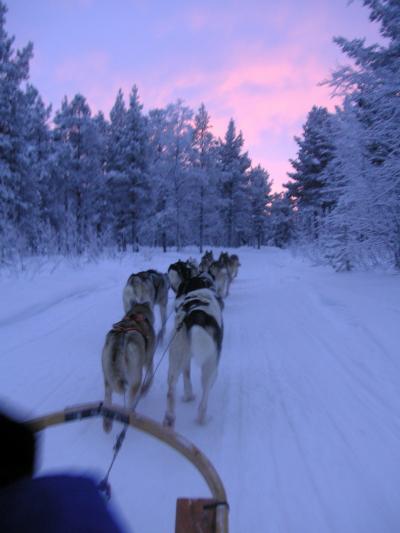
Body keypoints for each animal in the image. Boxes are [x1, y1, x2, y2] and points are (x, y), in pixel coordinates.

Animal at [101, 302, 155, 430]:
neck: (136, 314)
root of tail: (120, 338)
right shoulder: (149, 359)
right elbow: (151, 375)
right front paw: (146, 388)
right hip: (136, 378)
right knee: (130, 402)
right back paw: (131, 415)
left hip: (108, 377)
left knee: (107, 398)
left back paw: (107, 423)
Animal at [164, 284, 223, 426]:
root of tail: (191, 314)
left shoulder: (185, 360)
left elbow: (187, 376)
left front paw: (188, 396)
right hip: (210, 365)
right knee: (204, 397)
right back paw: (203, 419)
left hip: (176, 358)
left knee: (171, 389)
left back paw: (170, 418)